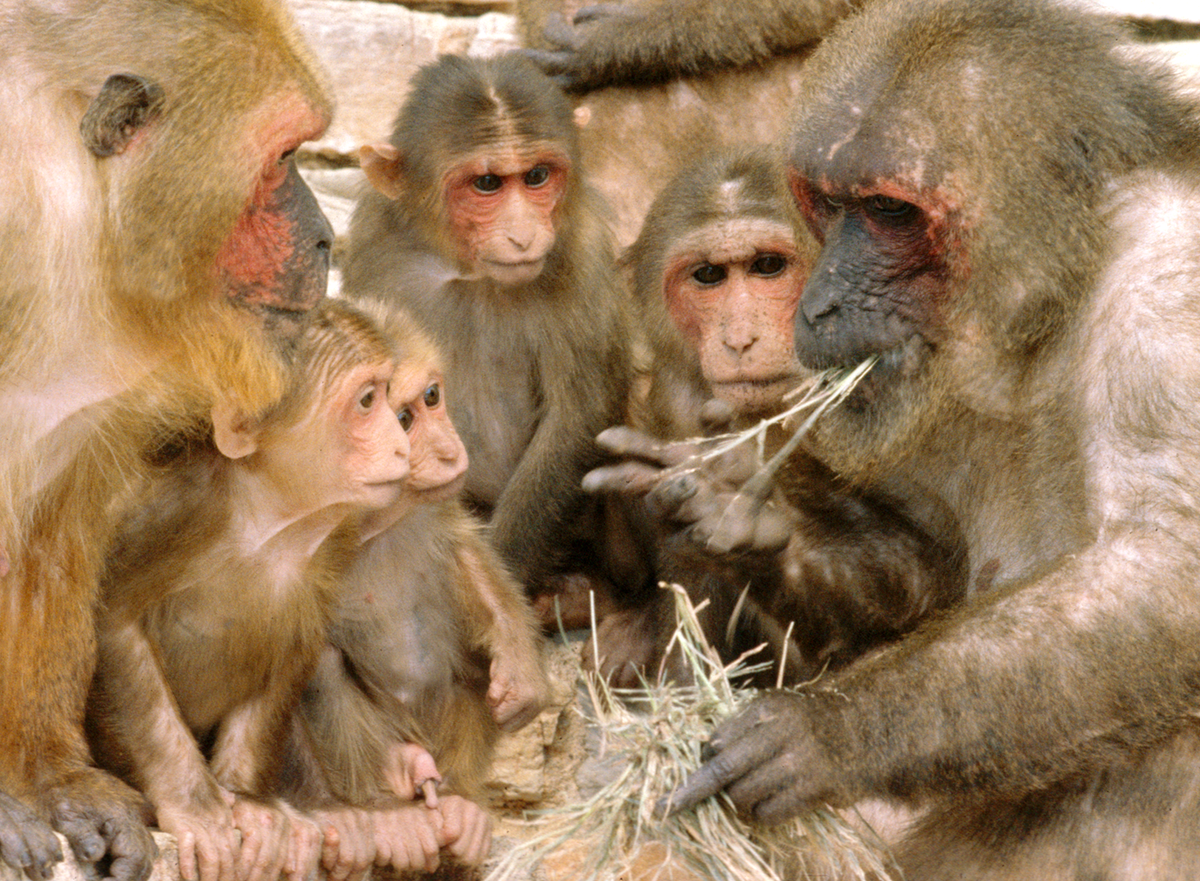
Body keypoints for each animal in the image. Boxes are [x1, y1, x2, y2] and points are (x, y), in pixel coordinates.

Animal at [85, 298, 456, 881]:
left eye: (389, 401)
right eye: (368, 402)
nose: (400, 446)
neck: (273, 518)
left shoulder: (334, 538)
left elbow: (298, 645)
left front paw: (247, 802)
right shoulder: (179, 507)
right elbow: (114, 618)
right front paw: (193, 802)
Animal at [340, 52, 640, 621]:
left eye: (537, 176)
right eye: (486, 184)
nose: (523, 233)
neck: (469, 271)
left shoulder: (584, 249)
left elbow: (578, 417)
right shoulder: (374, 242)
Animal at [659, 1, 1200, 877]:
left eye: (889, 212)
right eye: (829, 203)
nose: (819, 301)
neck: (1053, 296)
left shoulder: (1172, 292)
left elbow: (1170, 566)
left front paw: (828, 729)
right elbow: (920, 561)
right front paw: (736, 515)